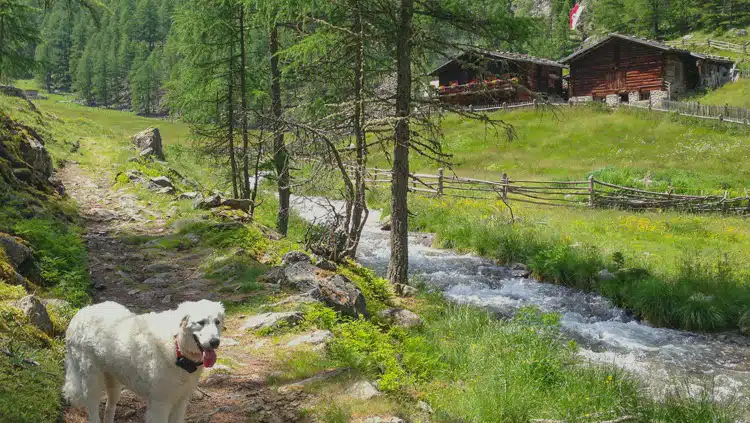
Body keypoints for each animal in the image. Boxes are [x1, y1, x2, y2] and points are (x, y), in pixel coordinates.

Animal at [65, 300, 225, 423]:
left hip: (114, 382)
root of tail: (80, 313)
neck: (177, 346)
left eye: (217, 322)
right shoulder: (160, 405)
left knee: (109, 408)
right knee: (93, 411)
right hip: (91, 382)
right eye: (201, 322)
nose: (215, 342)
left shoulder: (181, 402)